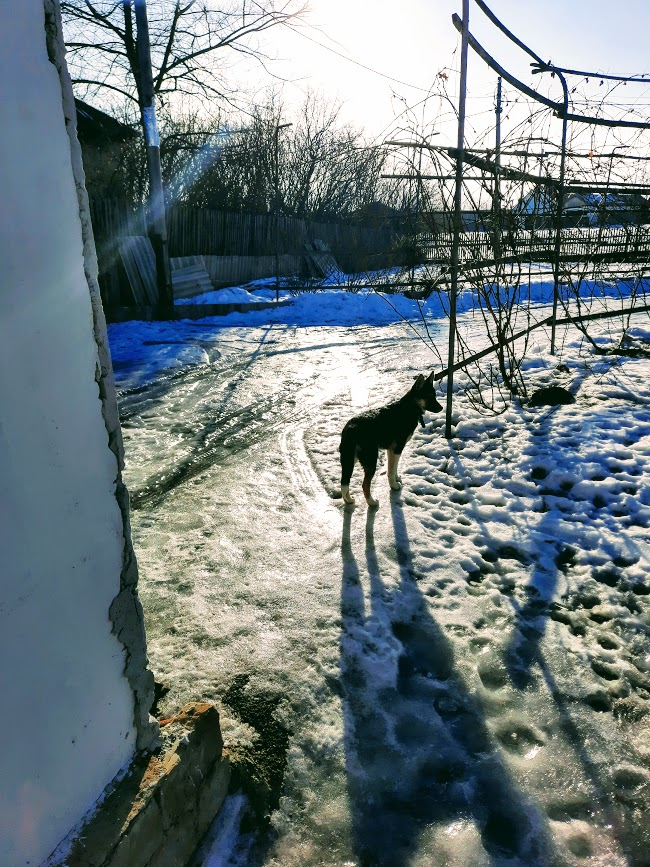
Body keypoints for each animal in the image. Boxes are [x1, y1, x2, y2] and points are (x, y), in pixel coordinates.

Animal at [340, 372, 440, 508]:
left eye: (434, 396)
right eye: (429, 397)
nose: (441, 408)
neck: (409, 407)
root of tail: (351, 427)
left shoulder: (391, 449)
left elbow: (392, 468)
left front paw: (396, 479)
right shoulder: (398, 448)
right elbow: (392, 470)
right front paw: (394, 486)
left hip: (350, 458)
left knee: (344, 483)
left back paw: (348, 501)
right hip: (370, 459)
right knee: (364, 485)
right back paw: (372, 502)